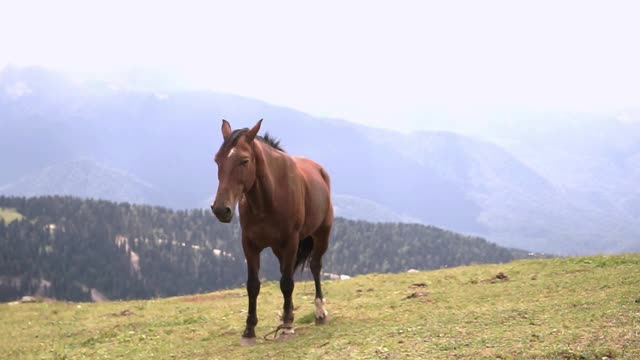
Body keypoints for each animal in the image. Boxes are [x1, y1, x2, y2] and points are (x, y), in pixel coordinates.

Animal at [211, 118, 336, 344]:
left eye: (244, 161)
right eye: (217, 160)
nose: (220, 209)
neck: (269, 199)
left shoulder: (291, 242)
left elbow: (286, 283)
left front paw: (287, 326)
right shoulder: (249, 244)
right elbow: (253, 285)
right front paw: (249, 329)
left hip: (321, 235)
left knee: (315, 266)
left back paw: (319, 312)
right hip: (279, 249)